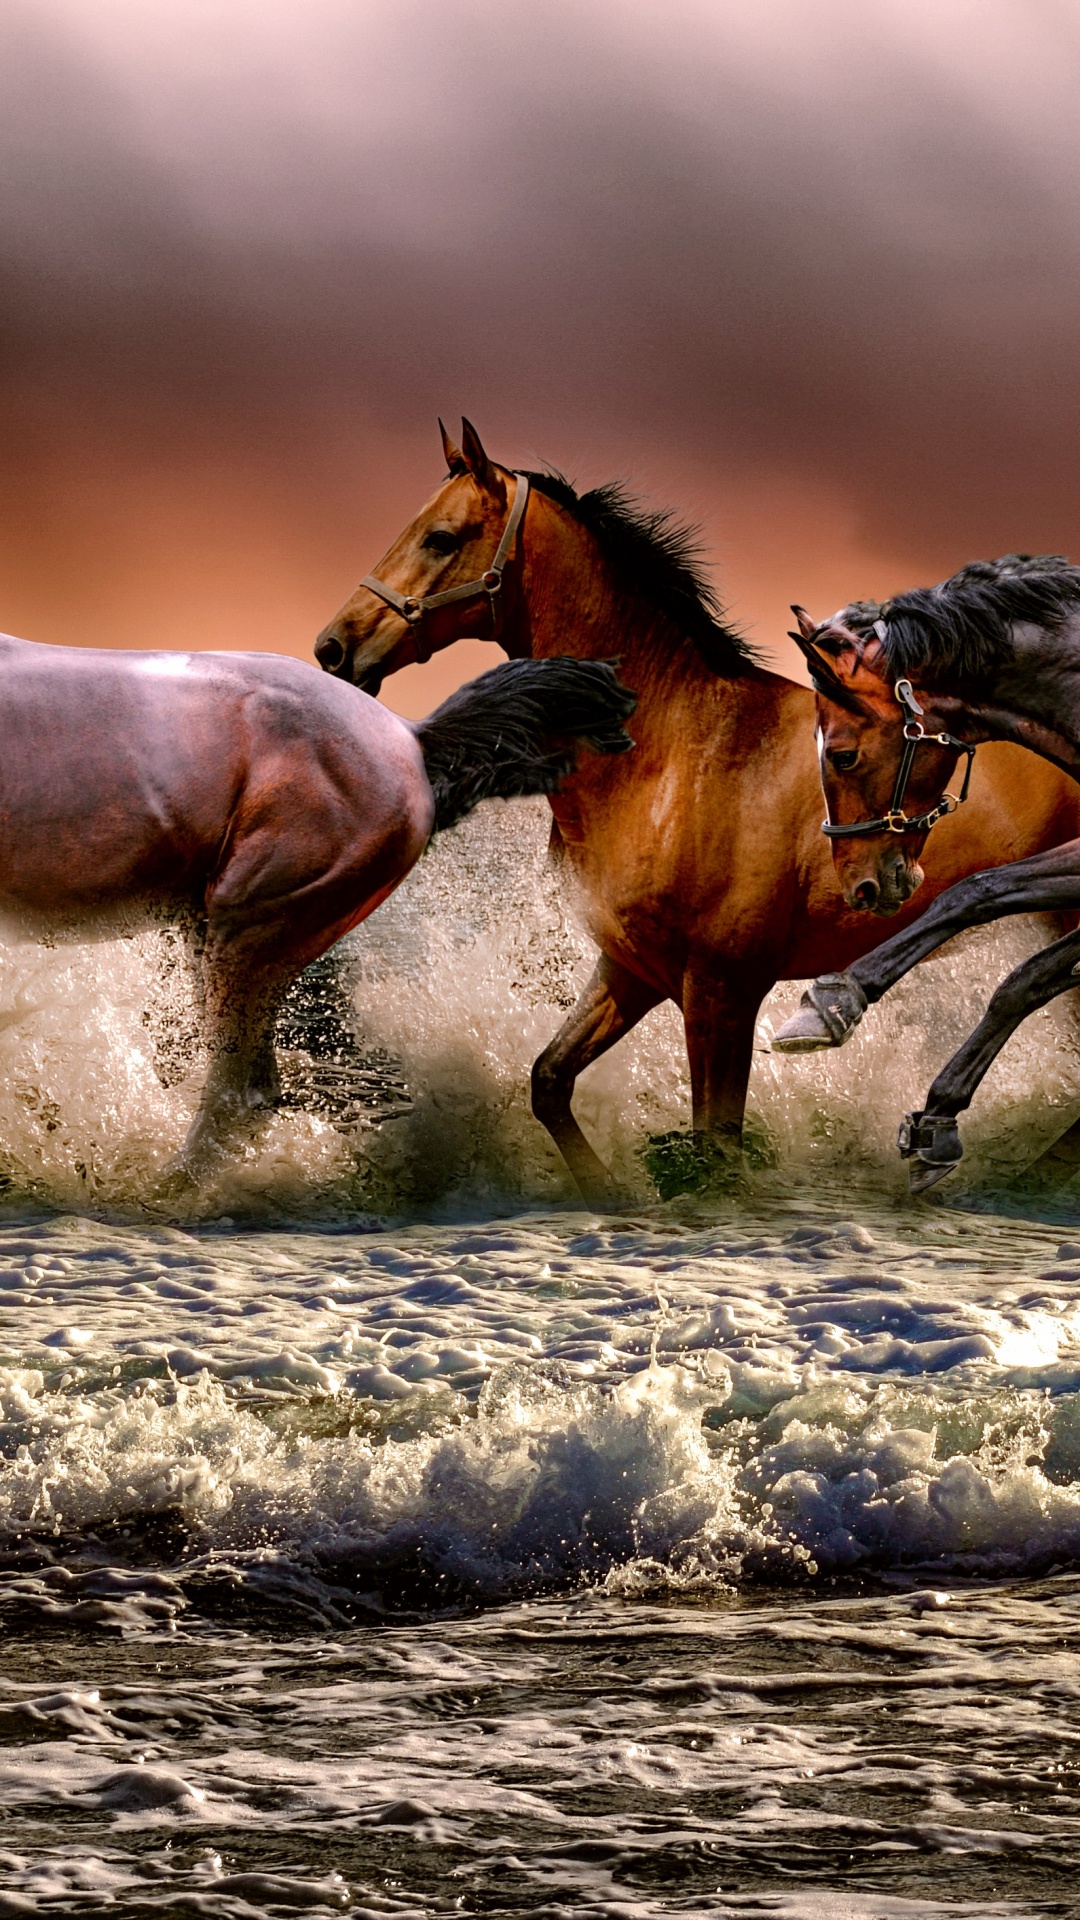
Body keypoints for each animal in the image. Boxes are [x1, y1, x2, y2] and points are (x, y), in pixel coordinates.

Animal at [773, 554, 1080, 1190]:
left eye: (842, 755)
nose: (859, 885)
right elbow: (1026, 973)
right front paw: (938, 1120)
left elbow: (979, 893)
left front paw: (834, 1000)